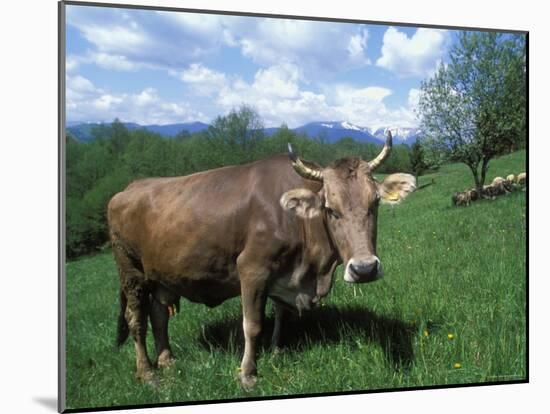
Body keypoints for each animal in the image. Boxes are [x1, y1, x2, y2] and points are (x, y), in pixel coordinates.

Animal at [110, 131, 416, 390]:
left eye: (374, 203)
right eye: (331, 209)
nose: (364, 269)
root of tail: (130, 187)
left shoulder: (286, 275)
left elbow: (282, 313)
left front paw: (277, 349)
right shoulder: (252, 269)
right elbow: (252, 324)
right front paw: (247, 374)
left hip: (161, 275)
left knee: (159, 314)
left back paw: (167, 360)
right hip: (131, 271)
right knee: (137, 318)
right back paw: (148, 372)